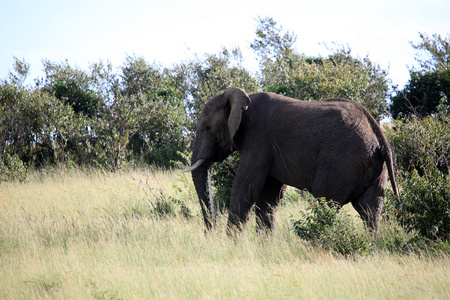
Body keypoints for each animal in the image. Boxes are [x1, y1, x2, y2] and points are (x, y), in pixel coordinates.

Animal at [183, 87, 398, 234]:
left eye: (208, 127)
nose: (210, 233)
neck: (244, 98)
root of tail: (379, 136)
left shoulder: (258, 139)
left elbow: (246, 186)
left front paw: (232, 244)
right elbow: (268, 196)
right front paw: (264, 246)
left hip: (341, 162)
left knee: (327, 203)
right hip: (374, 168)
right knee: (370, 211)